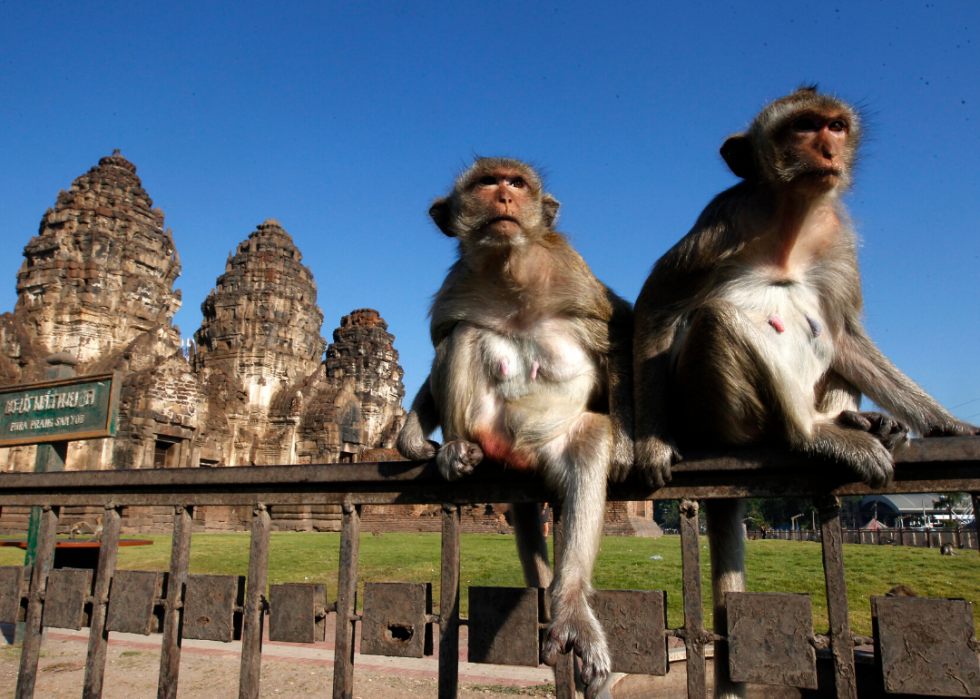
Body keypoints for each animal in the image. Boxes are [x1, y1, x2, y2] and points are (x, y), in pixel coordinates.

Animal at [398, 156, 636, 696]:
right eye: (487, 183)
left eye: (517, 183)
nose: (504, 196)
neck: (509, 272)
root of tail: (516, 454)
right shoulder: (457, 286)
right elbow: (446, 335)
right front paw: (412, 436)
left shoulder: (573, 271)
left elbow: (618, 332)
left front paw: (630, 445)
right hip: (490, 428)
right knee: (465, 335)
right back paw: (458, 450)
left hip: (552, 444)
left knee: (589, 443)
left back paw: (571, 606)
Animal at [632, 87, 976, 699]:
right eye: (802, 127)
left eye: (835, 126)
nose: (827, 149)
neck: (792, 217)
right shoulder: (726, 217)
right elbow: (658, 305)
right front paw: (651, 444)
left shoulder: (835, 236)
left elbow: (847, 337)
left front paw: (949, 424)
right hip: (721, 415)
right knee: (718, 320)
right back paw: (811, 435)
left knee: (829, 338)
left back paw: (865, 424)